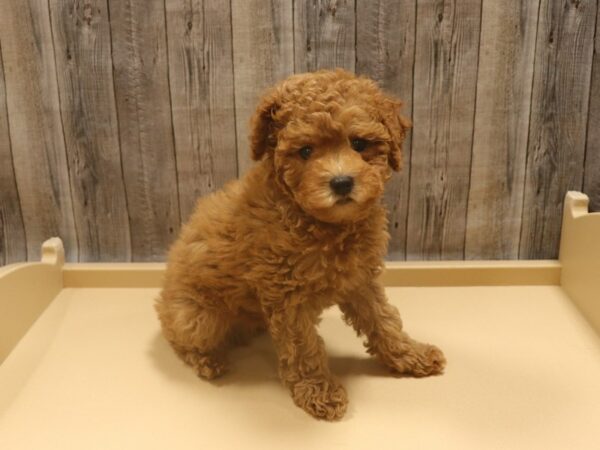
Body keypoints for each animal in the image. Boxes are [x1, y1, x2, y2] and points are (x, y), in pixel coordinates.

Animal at [155, 68, 446, 420]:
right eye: (305, 151)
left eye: (359, 144)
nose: (341, 182)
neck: (322, 224)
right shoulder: (287, 295)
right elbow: (304, 347)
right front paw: (319, 392)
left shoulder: (360, 280)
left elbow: (384, 320)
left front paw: (410, 355)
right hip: (197, 317)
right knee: (181, 338)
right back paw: (207, 360)